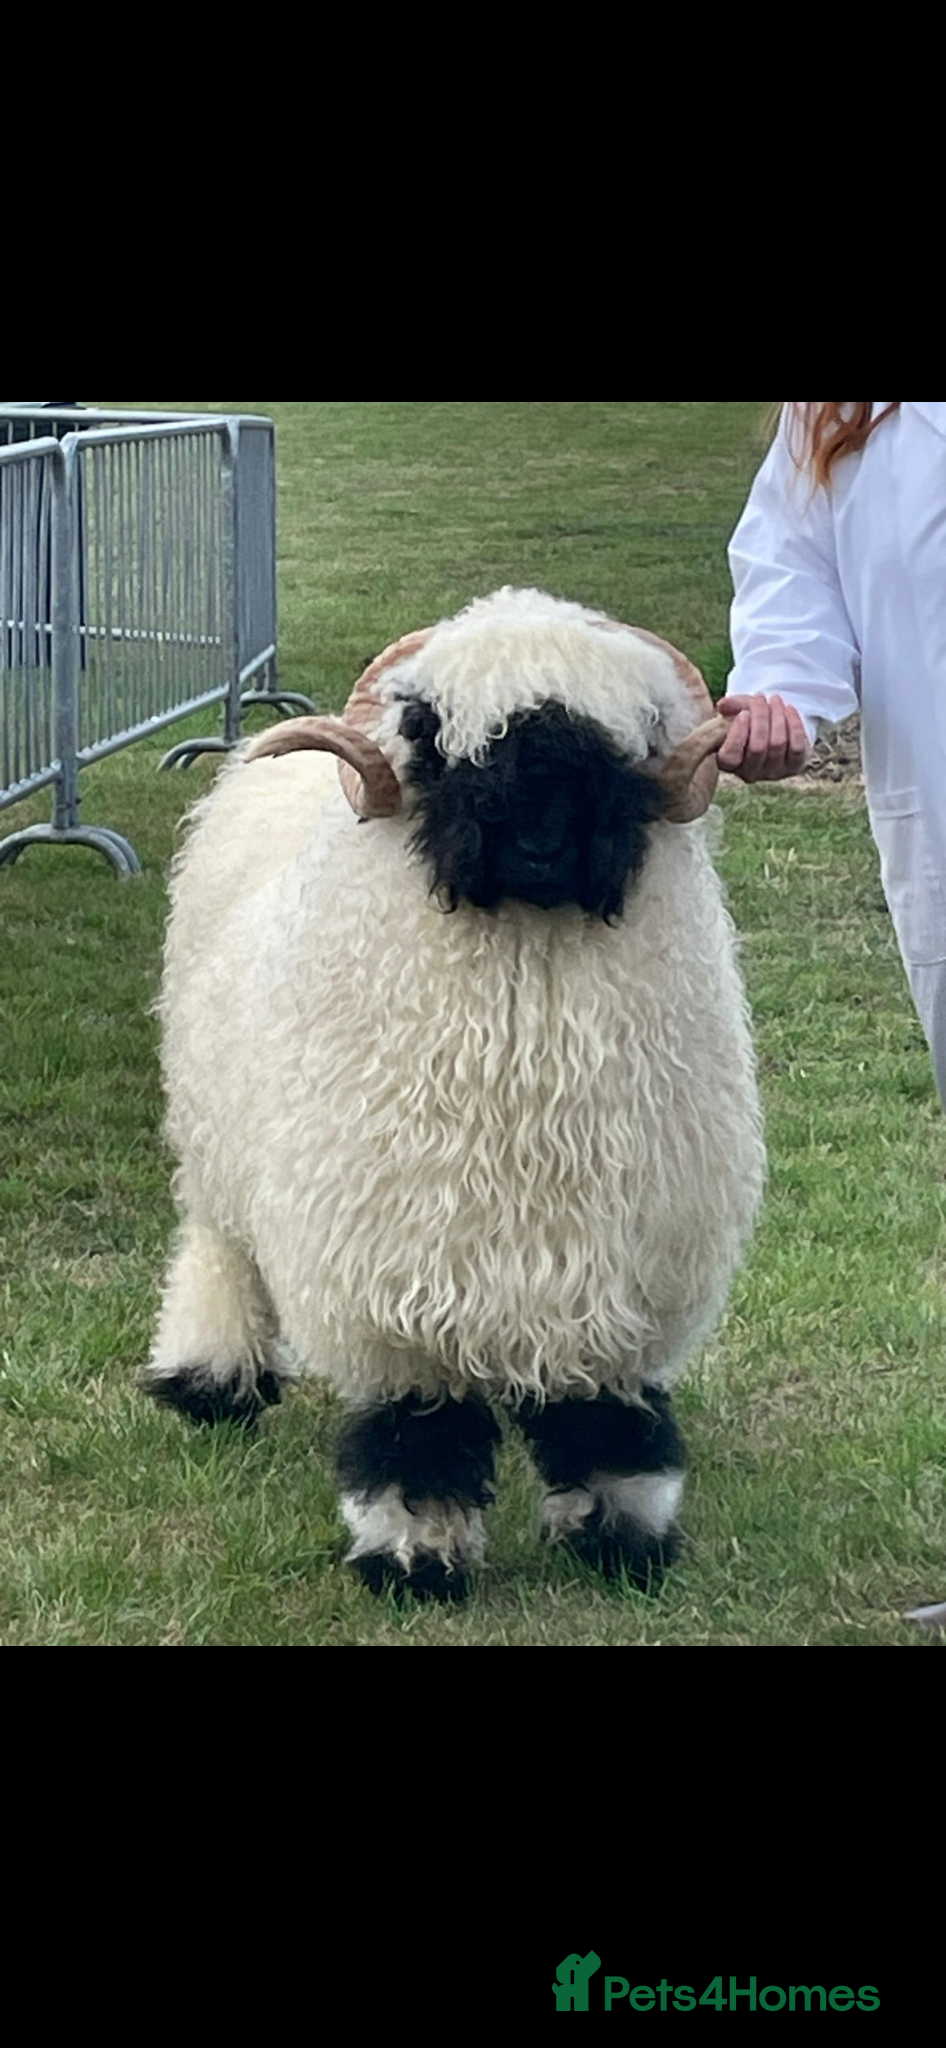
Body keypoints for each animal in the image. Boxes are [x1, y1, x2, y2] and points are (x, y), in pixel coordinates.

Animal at [143, 588, 765, 1603]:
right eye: (431, 734)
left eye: (630, 738)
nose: (541, 849)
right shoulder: (399, 1270)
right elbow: (418, 1431)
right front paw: (415, 1560)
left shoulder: (623, 1265)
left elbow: (607, 1420)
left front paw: (622, 1541)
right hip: (212, 1136)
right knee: (221, 1250)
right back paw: (210, 1380)